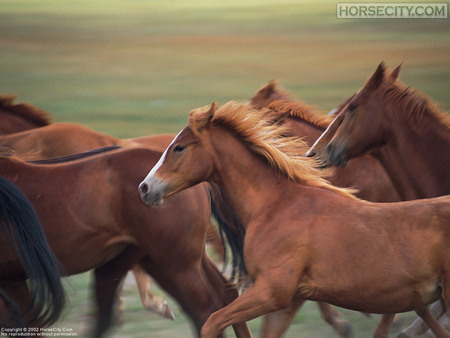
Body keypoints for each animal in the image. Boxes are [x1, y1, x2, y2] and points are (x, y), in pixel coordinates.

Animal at [140, 102, 450, 338]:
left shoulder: (271, 293)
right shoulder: (288, 300)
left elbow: (212, 322)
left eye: (179, 147)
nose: (145, 188)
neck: (275, 205)